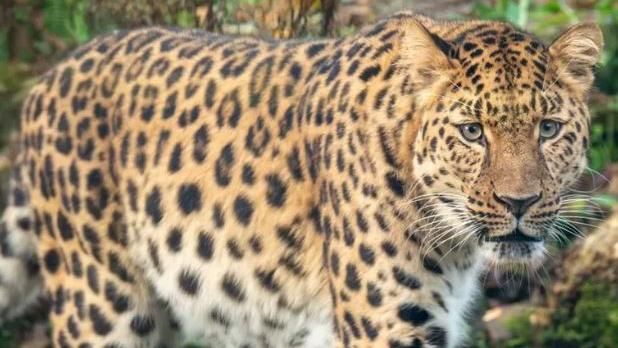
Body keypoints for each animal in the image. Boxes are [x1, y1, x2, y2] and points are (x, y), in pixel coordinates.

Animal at [0, 10, 600, 348]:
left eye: (548, 128)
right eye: (473, 132)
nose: (519, 202)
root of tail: (47, 80)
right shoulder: (388, 328)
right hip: (103, 303)